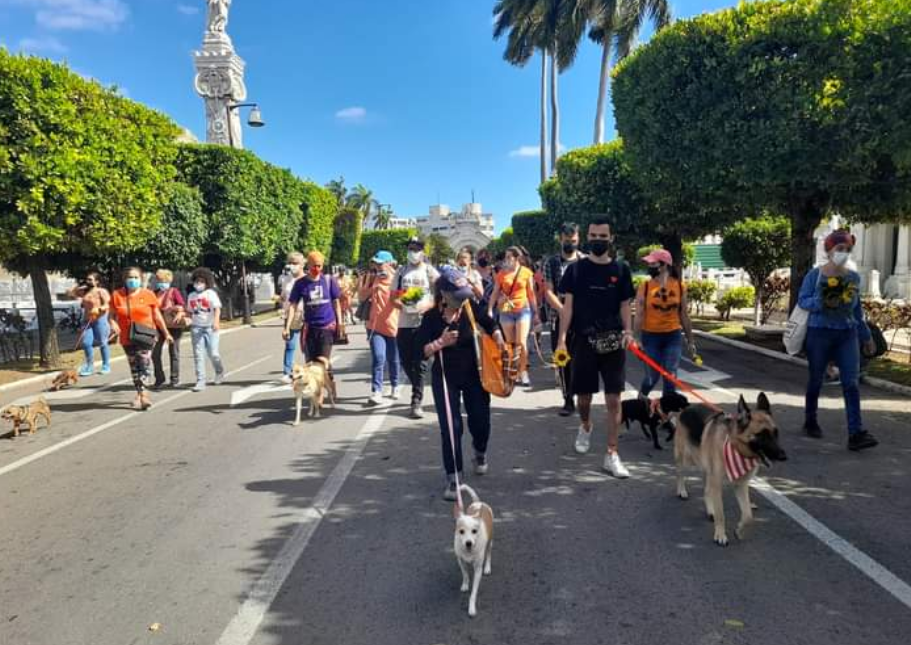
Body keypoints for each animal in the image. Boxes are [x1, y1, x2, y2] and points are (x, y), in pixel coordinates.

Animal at [452, 484, 496, 620]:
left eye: (474, 531)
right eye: (461, 531)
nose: (468, 543)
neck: (469, 552)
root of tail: (478, 502)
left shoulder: (477, 570)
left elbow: (474, 593)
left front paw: (471, 607)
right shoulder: (460, 560)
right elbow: (465, 573)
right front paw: (465, 584)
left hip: (490, 542)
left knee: (489, 554)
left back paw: (487, 567)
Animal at [672, 390, 788, 544]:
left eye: (776, 432)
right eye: (762, 435)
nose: (783, 457)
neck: (736, 448)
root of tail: (687, 408)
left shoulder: (741, 485)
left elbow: (748, 515)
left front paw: (739, 531)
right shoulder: (717, 484)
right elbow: (721, 513)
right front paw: (720, 535)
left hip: (707, 470)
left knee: (706, 490)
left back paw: (710, 511)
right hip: (686, 458)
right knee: (679, 473)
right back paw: (682, 491)